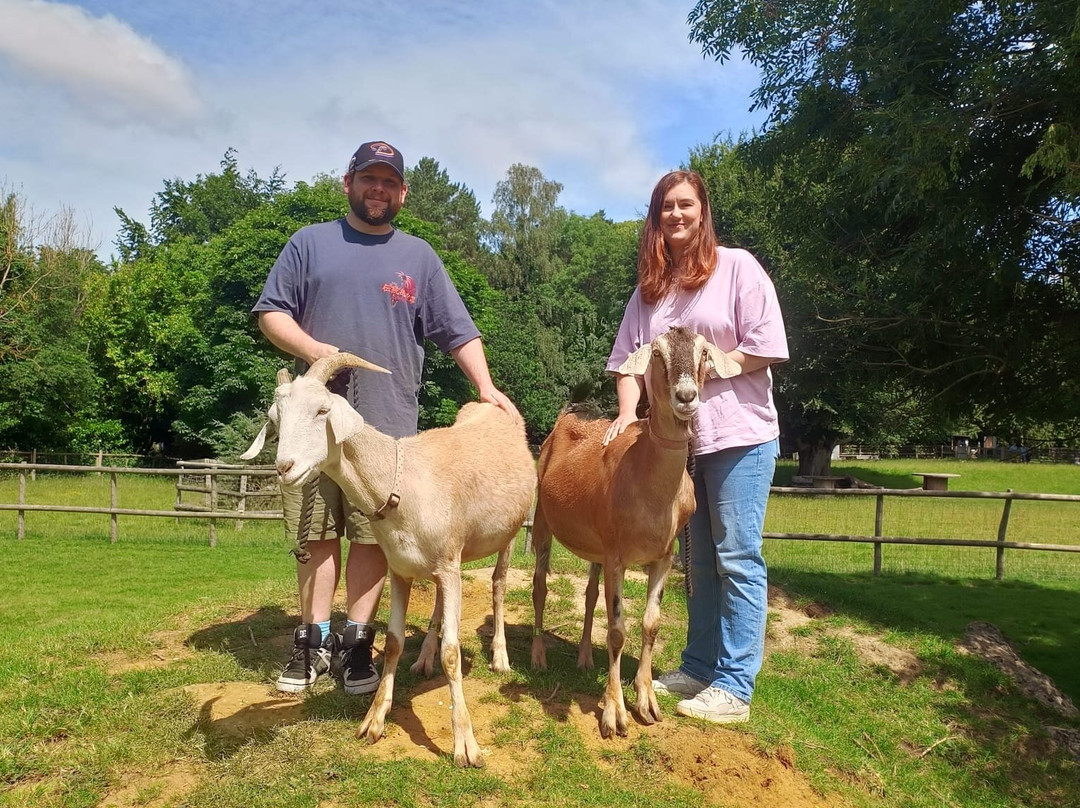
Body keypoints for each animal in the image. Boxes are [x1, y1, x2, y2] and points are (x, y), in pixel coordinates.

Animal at [530, 326, 739, 738]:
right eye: (656, 353)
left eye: (704, 352)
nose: (686, 396)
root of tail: (567, 417)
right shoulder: (616, 556)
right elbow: (616, 629)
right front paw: (614, 714)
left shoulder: (664, 556)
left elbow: (650, 624)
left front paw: (648, 703)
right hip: (543, 518)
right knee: (540, 584)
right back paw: (538, 656)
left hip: (594, 547)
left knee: (589, 594)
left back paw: (583, 659)